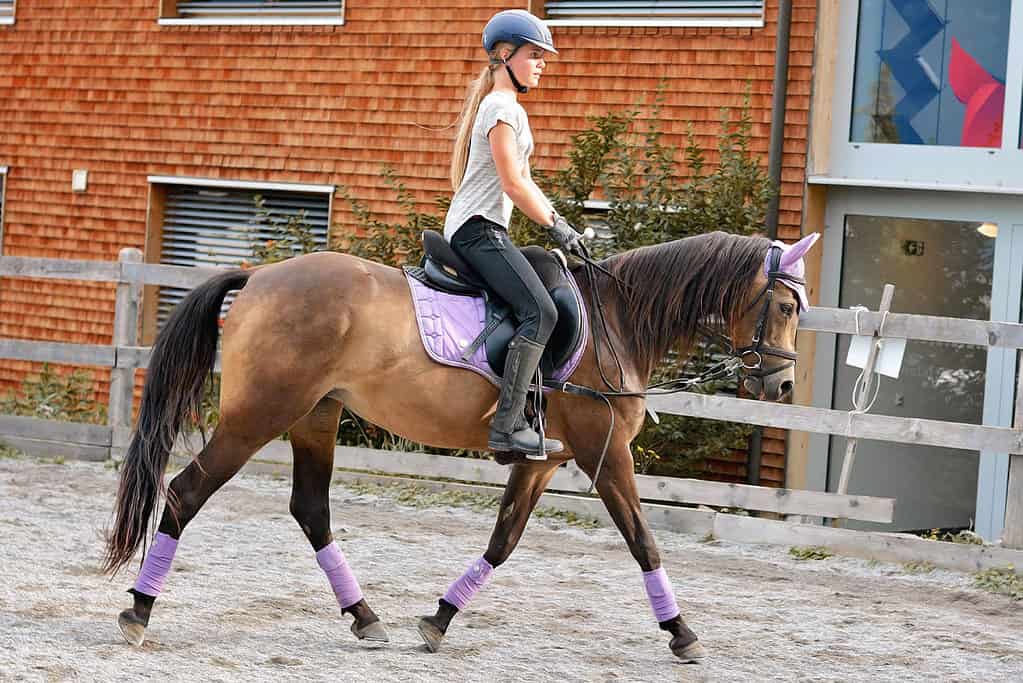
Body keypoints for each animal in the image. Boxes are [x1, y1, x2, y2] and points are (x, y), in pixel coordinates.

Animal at [103, 229, 818, 661]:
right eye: (784, 307)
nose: (781, 383)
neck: (616, 321)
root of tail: (259, 278)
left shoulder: (545, 460)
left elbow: (502, 541)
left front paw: (439, 618)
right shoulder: (604, 454)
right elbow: (644, 541)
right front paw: (682, 633)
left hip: (316, 416)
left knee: (310, 510)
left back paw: (365, 616)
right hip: (260, 415)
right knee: (185, 492)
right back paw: (138, 610)